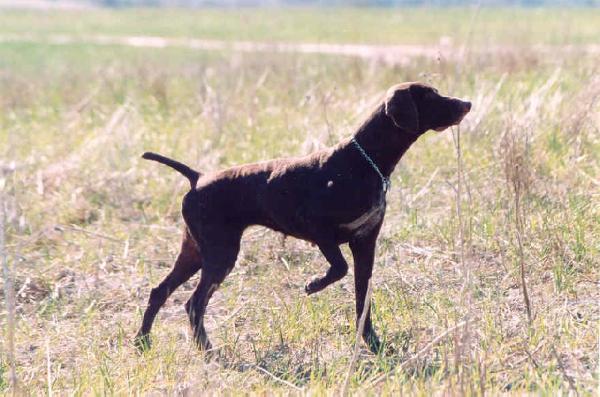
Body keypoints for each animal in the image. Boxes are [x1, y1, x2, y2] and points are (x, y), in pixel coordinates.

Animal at [135, 81, 468, 352]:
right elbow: (339, 267)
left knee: (159, 292)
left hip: (194, 252)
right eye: (430, 96)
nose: (467, 103)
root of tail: (198, 177)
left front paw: (372, 342)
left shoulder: (365, 244)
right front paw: (314, 284)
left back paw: (143, 342)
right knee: (194, 303)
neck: (363, 161)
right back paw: (206, 349)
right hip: (220, 254)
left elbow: (363, 300)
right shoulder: (318, 228)